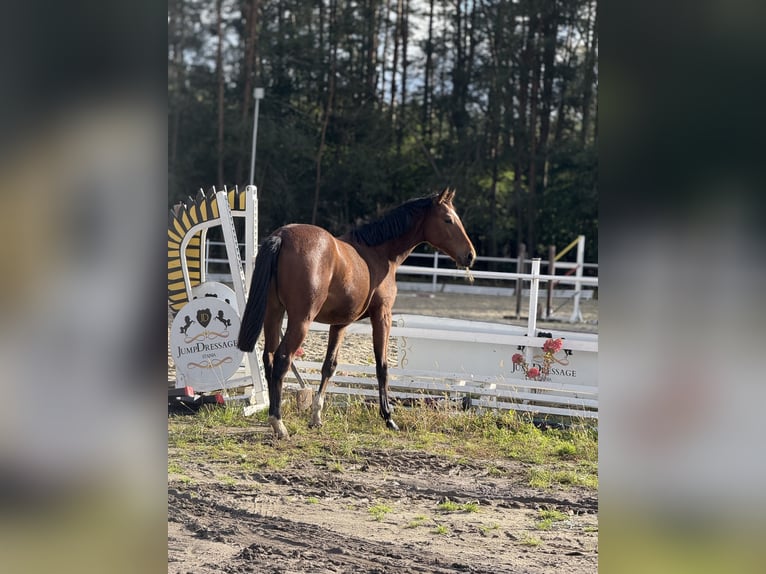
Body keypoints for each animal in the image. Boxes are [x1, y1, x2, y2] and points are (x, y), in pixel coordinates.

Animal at [237, 188, 476, 438]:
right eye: (448, 219)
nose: (470, 255)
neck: (379, 252)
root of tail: (282, 235)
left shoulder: (340, 324)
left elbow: (329, 366)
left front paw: (316, 416)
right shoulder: (382, 316)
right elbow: (382, 367)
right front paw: (388, 417)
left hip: (273, 314)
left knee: (270, 358)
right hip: (300, 321)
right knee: (283, 359)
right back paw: (278, 422)